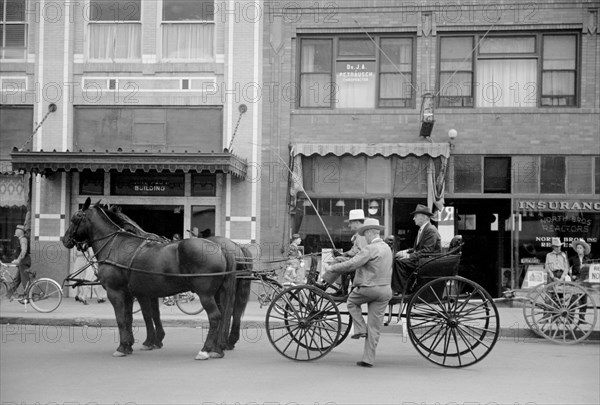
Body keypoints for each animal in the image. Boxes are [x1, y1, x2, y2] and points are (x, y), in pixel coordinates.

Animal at [64, 197, 243, 358]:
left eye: (75, 218)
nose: (65, 240)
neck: (115, 245)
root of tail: (220, 247)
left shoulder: (116, 292)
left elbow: (122, 319)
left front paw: (123, 347)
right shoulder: (131, 293)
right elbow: (130, 318)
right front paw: (129, 344)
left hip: (205, 294)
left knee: (215, 317)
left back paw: (205, 350)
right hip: (218, 293)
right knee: (223, 315)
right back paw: (217, 349)